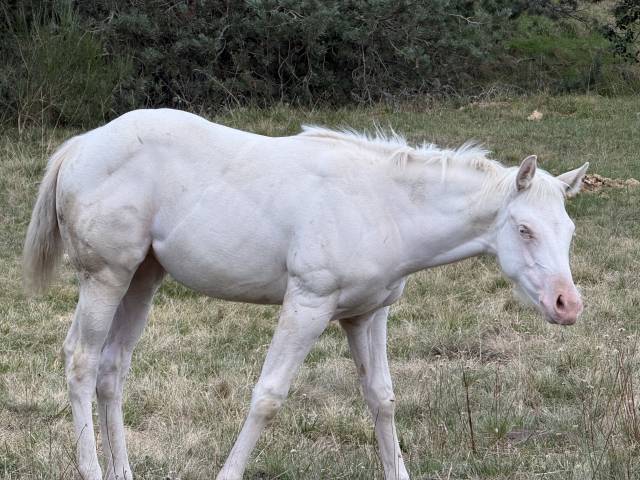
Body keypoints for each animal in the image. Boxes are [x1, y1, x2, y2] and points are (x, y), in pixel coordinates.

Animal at [23, 109, 588, 480]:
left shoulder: (368, 315)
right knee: (81, 360)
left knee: (112, 368)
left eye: (569, 229)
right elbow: (268, 396)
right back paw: (92, 468)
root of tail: (82, 144)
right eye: (524, 229)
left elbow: (381, 398)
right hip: (106, 277)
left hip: (142, 278)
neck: (381, 204)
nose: (568, 305)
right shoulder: (308, 305)